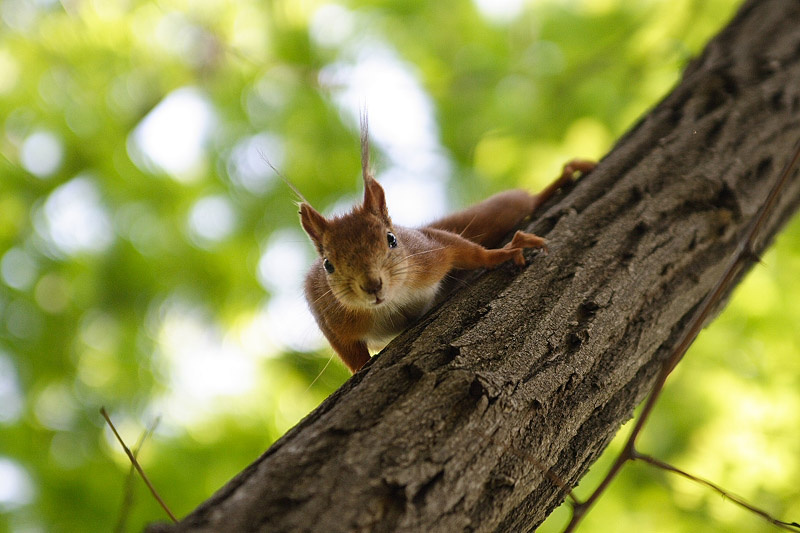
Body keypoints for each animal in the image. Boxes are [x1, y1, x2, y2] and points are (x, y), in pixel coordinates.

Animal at [298, 125, 594, 373]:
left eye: (391, 239)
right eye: (328, 265)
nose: (372, 285)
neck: (393, 301)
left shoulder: (430, 251)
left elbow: (465, 251)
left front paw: (504, 253)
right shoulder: (326, 310)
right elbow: (347, 350)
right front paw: (360, 367)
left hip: (500, 210)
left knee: (525, 202)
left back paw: (561, 180)